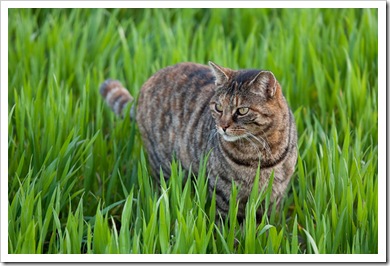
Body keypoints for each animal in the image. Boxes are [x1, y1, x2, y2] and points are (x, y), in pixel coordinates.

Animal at [99, 61, 298, 220]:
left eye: (242, 111)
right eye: (218, 107)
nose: (222, 126)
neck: (260, 152)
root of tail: (149, 81)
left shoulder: (274, 196)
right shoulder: (223, 194)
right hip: (165, 166)